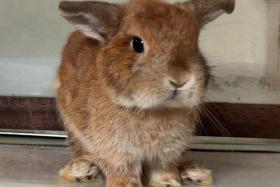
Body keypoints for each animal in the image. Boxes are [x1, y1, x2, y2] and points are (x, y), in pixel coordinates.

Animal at [56, 0, 234, 186]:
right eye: (137, 43)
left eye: (195, 44)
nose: (180, 79)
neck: (153, 109)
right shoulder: (117, 152)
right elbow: (123, 170)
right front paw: (126, 185)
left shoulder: (166, 154)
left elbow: (162, 170)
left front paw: (168, 183)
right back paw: (81, 170)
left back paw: (195, 172)